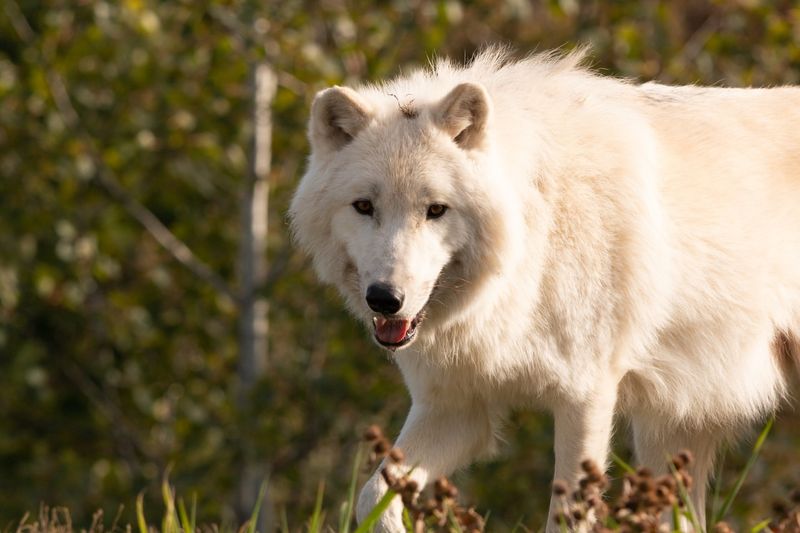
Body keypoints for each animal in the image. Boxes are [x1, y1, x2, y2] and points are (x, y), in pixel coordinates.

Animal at [290, 48, 800, 528]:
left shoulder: (586, 395)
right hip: (672, 431)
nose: (385, 298)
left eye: (435, 210)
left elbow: (567, 514)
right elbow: (373, 496)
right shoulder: (455, 407)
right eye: (364, 206)